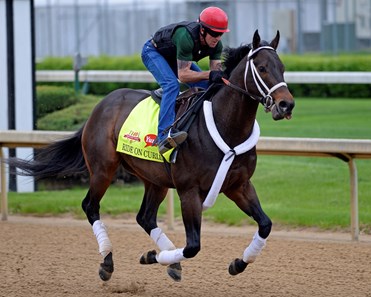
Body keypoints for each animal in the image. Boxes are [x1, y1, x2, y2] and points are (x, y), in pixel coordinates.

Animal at [6, 30, 296, 282]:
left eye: (282, 67)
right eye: (262, 68)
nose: (286, 104)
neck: (226, 126)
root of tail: (99, 107)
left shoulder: (239, 185)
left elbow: (265, 224)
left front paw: (238, 263)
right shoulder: (189, 191)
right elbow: (193, 246)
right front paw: (151, 257)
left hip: (155, 179)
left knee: (144, 217)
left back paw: (168, 261)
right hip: (103, 169)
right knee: (90, 206)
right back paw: (108, 261)